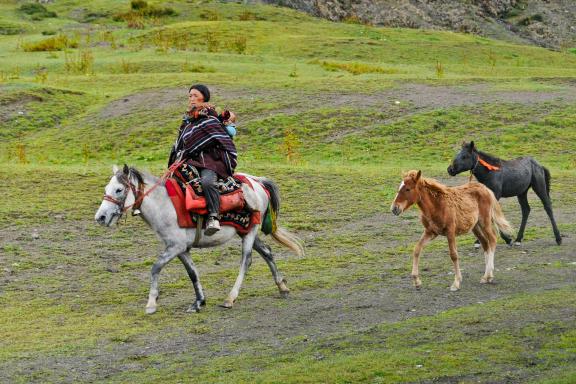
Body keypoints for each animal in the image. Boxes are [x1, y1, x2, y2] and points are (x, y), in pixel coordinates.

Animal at [93, 164, 306, 314]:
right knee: (267, 252)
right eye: (106, 188)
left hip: (251, 230)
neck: (164, 205)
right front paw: (198, 302)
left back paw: (230, 298)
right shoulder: (181, 249)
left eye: (119, 189)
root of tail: (257, 182)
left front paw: (151, 303)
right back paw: (282, 287)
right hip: (245, 230)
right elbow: (192, 273)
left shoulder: (175, 247)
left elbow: (155, 268)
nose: (100, 217)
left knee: (246, 260)